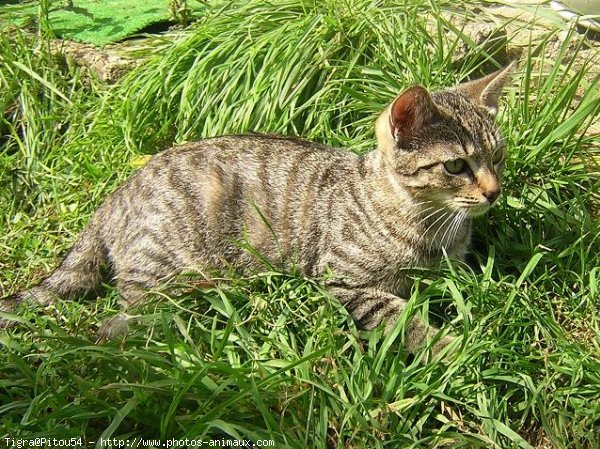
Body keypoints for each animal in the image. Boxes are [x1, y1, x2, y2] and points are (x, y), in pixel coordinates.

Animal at [0, 63, 516, 356]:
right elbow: (403, 321)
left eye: (498, 156)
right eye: (455, 166)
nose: (494, 192)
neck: (426, 223)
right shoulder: (344, 282)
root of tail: (115, 197)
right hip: (166, 269)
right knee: (121, 315)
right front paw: (454, 349)